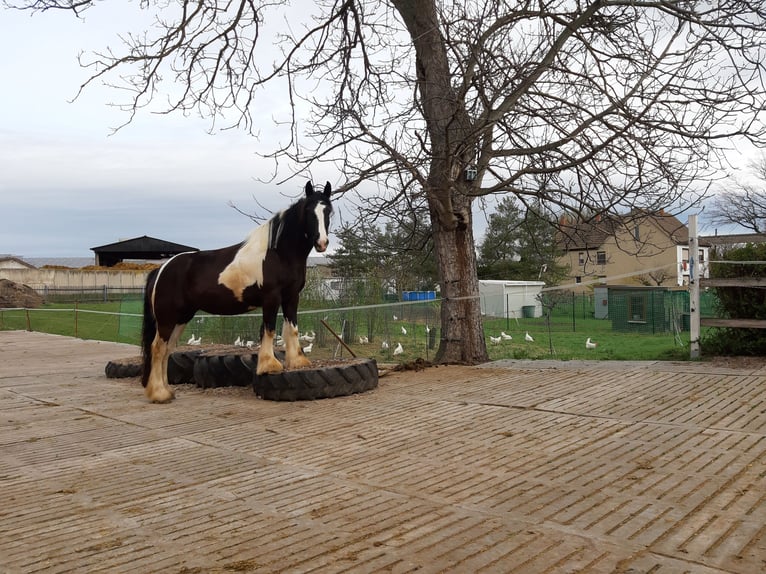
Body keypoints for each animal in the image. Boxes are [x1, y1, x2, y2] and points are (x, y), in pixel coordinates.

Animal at [140, 181, 333, 403]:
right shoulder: (271, 298)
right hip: (167, 318)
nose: (322, 243)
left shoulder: (292, 297)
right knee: (157, 348)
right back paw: (159, 394)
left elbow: (291, 328)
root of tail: (161, 269)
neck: (278, 253)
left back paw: (167, 391)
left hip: (181, 317)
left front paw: (297, 362)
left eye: (328, 210)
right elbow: (269, 329)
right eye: (309, 211)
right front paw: (268, 366)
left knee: (167, 350)